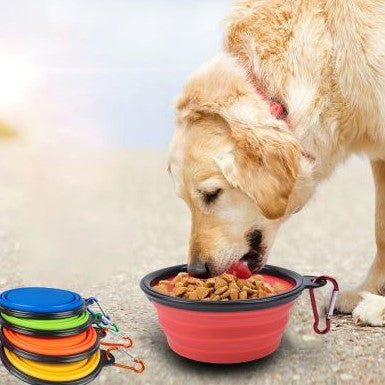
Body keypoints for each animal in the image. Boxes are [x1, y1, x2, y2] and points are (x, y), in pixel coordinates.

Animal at [167, 0, 384, 324]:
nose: (196, 270)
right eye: (184, 200)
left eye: (211, 194)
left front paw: (378, 304)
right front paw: (366, 291)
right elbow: (381, 229)